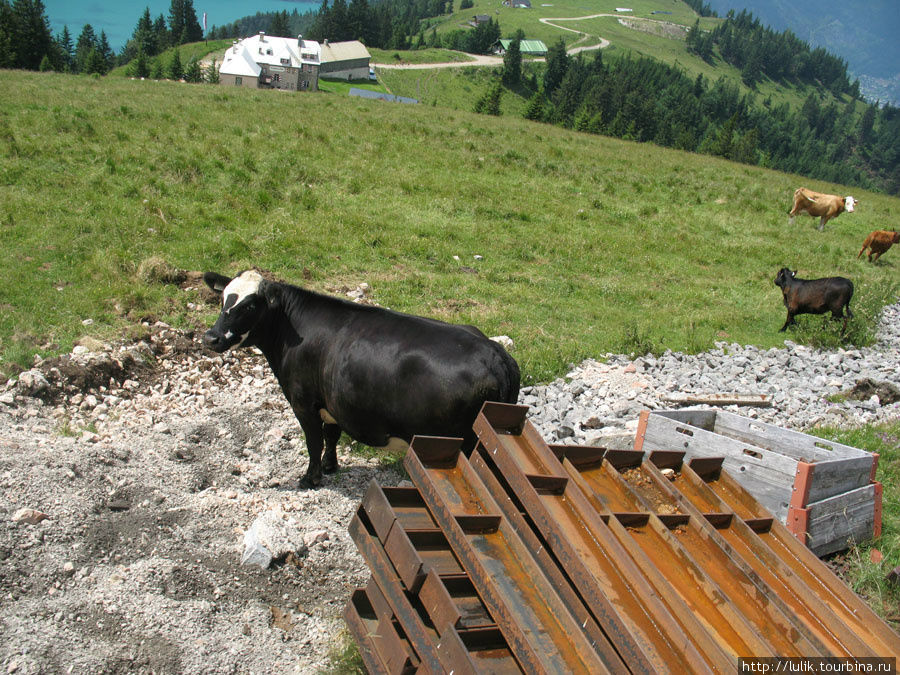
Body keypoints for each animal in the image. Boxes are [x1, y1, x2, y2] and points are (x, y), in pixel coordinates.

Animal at [202, 272, 520, 488]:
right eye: (223, 299)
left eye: (249, 306)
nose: (211, 337)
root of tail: (495, 354)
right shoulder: (331, 400)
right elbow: (330, 435)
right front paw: (330, 466)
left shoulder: (303, 401)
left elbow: (313, 441)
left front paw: (310, 478)